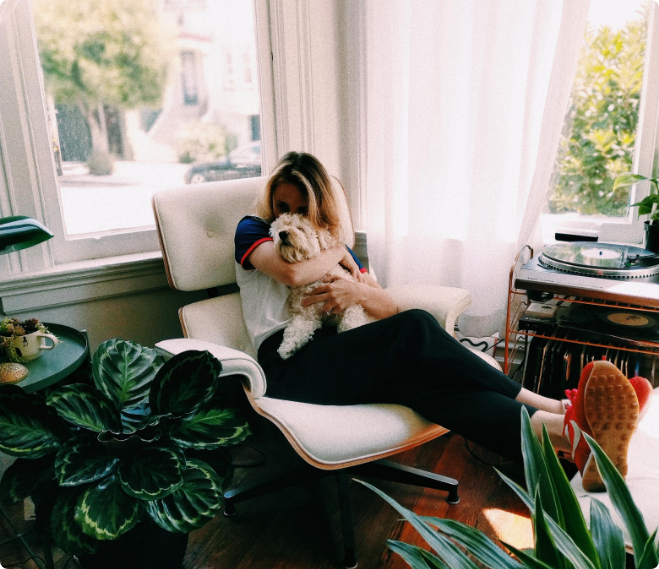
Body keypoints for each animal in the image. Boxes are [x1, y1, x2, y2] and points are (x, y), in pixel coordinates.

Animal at [270, 211, 374, 358]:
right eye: (279, 228)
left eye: (300, 228)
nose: (282, 233)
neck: (314, 280)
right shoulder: (306, 315)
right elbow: (296, 329)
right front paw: (287, 347)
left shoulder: (351, 302)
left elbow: (350, 323)